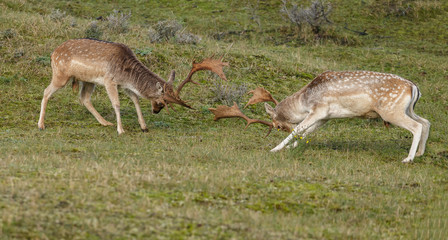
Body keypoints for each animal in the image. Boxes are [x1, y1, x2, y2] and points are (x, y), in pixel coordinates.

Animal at [37, 38, 228, 134]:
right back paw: (41, 125)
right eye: (162, 102)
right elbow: (116, 103)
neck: (126, 72)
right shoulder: (109, 80)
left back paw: (105, 123)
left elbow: (135, 99)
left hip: (89, 81)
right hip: (61, 74)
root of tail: (53, 53)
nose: (155, 111)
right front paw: (121, 130)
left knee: (83, 98)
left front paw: (144, 126)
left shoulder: (124, 85)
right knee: (46, 91)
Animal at [262, 70, 430, 162]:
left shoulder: (319, 109)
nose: (281, 127)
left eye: (277, 125)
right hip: (407, 110)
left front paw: (274, 149)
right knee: (426, 122)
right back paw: (419, 153)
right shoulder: (325, 117)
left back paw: (408, 158)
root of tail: (413, 87)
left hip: (391, 111)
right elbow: (307, 131)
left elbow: (299, 129)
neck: (304, 101)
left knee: (417, 126)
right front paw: (290, 147)